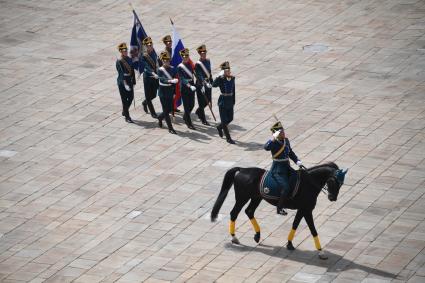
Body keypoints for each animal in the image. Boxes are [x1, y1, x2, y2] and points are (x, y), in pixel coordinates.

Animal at [210, 163, 346, 260]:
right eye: (332, 181)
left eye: (341, 184)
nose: (332, 198)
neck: (309, 183)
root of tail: (242, 169)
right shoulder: (306, 210)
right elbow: (313, 230)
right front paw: (321, 252)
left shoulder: (302, 210)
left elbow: (295, 224)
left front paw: (289, 244)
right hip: (242, 198)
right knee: (234, 213)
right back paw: (235, 238)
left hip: (256, 197)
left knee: (249, 211)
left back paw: (257, 235)